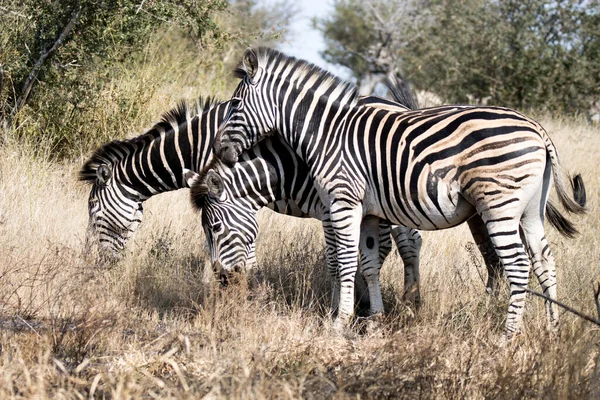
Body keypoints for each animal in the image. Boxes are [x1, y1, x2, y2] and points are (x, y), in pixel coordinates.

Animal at [211, 48, 584, 340]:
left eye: (236, 104)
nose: (220, 150)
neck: (327, 132)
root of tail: (536, 128)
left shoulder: (342, 202)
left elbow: (345, 261)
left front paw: (339, 323)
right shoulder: (369, 212)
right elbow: (368, 262)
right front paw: (373, 321)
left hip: (498, 206)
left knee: (518, 264)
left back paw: (507, 337)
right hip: (530, 210)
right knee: (544, 260)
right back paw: (552, 329)